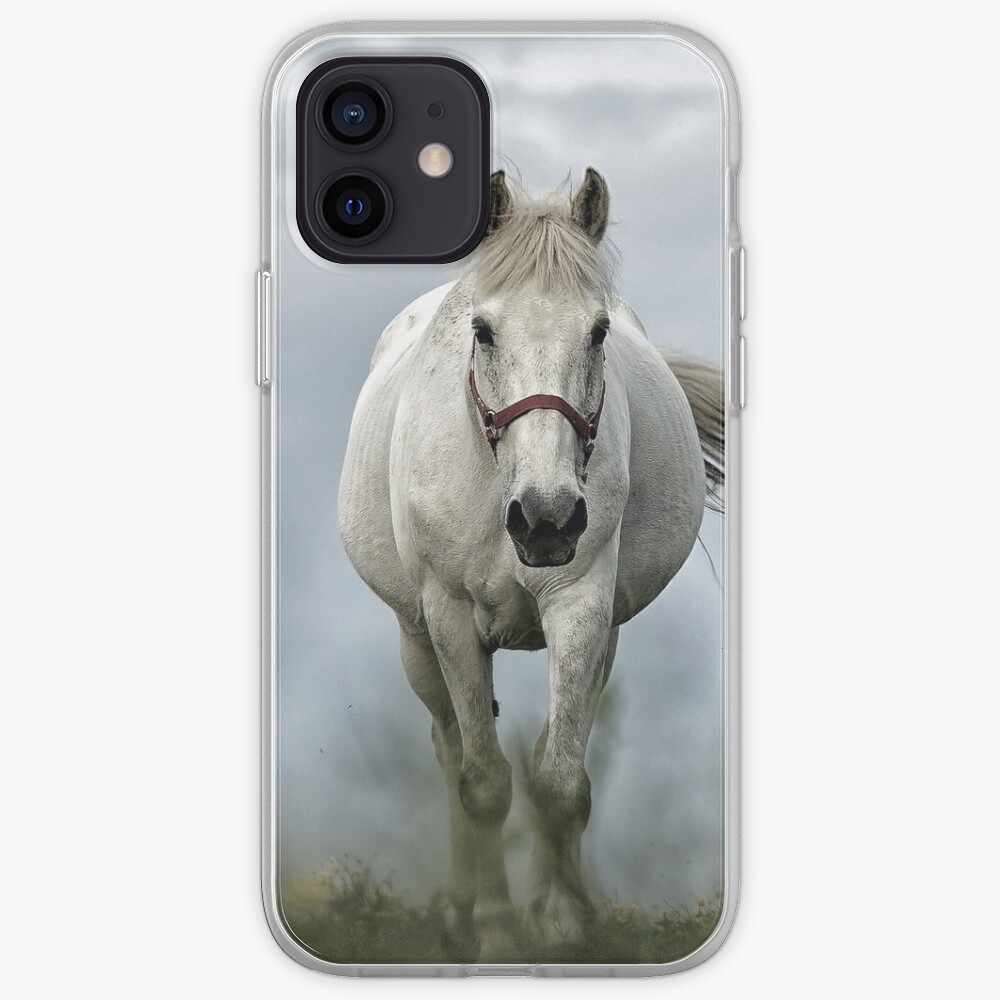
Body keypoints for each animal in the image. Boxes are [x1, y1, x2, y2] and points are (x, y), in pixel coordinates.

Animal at [338, 168, 724, 960]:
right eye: (483, 331)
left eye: (598, 331)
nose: (546, 518)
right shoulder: (449, 616)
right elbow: (483, 782)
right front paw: (493, 933)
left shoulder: (582, 607)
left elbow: (560, 780)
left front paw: (563, 925)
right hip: (415, 640)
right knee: (449, 748)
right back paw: (459, 913)